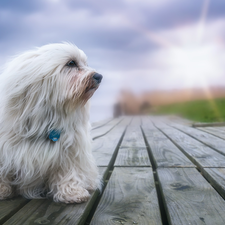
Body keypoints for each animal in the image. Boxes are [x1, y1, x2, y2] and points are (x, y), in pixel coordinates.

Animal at [0, 42, 103, 204]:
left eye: (85, 64)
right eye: (71, 63)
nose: (99, 76)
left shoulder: (70, 151)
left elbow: (68, 173)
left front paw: (72, 192)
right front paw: (2, 190)